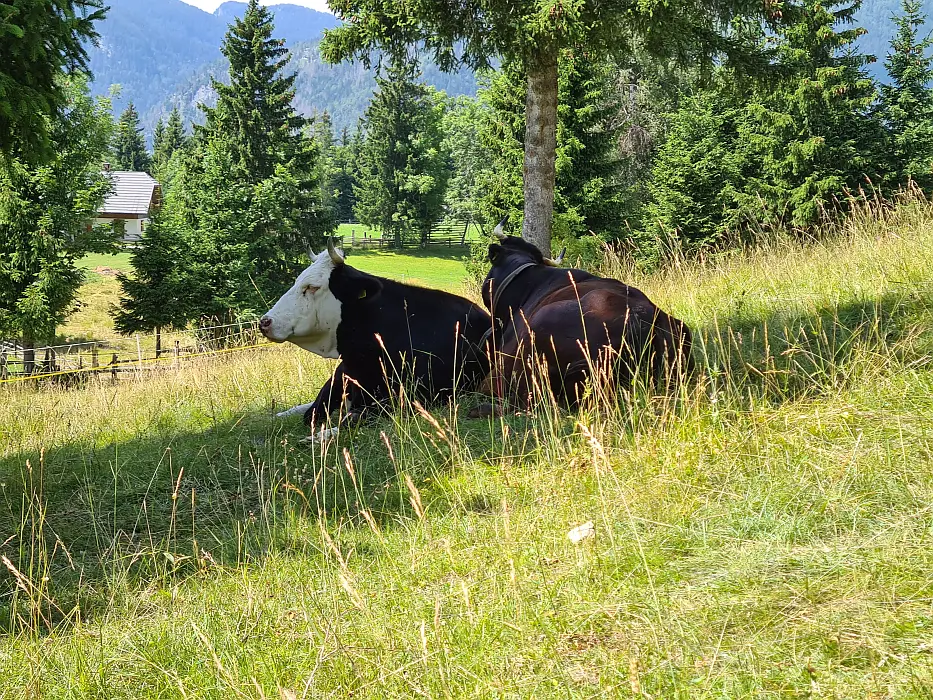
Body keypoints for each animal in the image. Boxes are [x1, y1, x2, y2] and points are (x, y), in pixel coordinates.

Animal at [255, 241, 488, 438]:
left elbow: (350, 419)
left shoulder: (413, 398)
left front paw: (319, 436)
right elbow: (311, 413)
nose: (265, 322)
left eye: (312, 287)